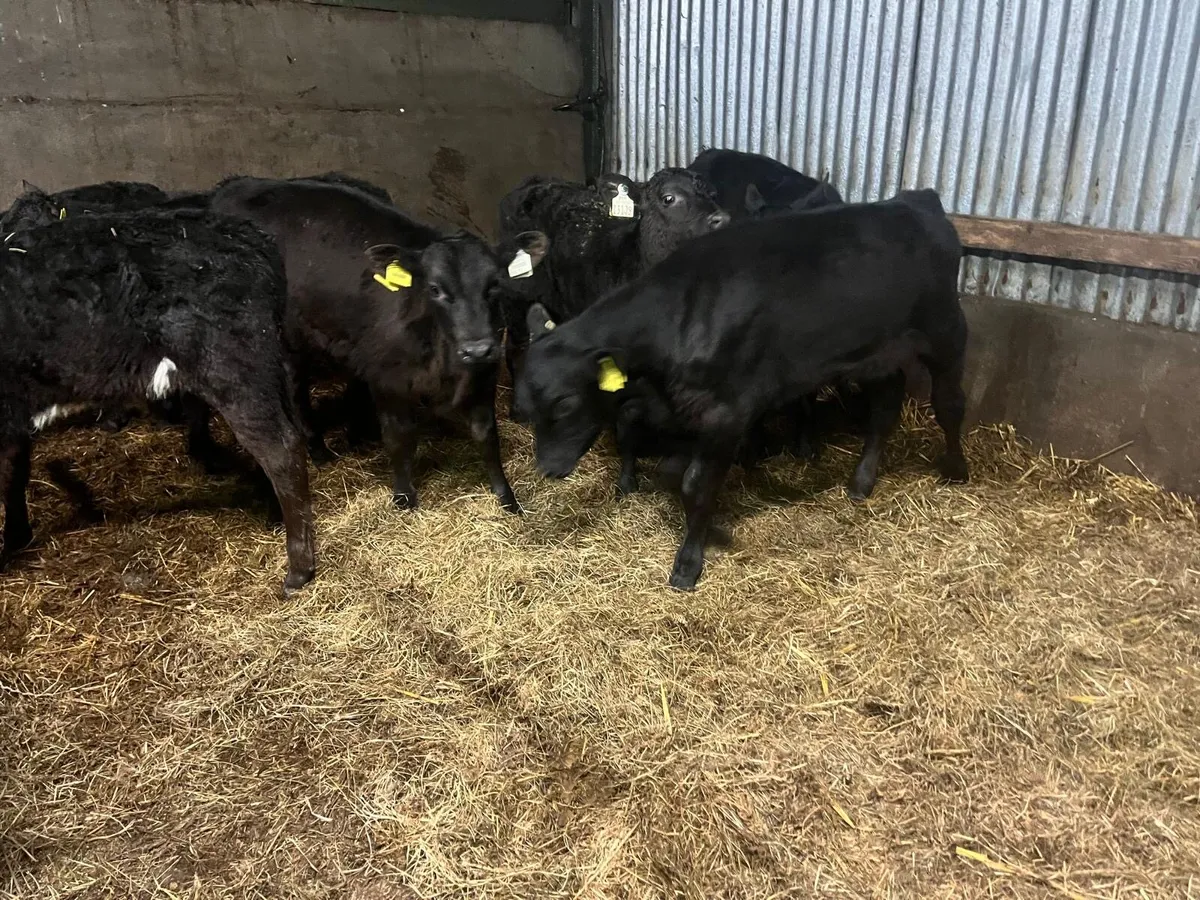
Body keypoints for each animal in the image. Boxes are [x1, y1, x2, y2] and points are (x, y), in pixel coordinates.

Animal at [0, 208, 316, 595]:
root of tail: (248, 237)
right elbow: (14, 473)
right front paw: (16, 539)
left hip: (235, 369)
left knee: (281, 449)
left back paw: (299, 569)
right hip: (269, 367)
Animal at [189, 176, 547, 514]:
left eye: (494, 285)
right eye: (434, 289)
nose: (476, 348)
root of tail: (236, 186)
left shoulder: (484, 372)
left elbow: (487, 435)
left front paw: (508, 499)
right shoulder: (386, 378)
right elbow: (398, 437)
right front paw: (404, 497)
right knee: (292, 389)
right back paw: (311, 449)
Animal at [514, 189, 969, 590]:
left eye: (565, 403)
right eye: (525, 409)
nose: (547, 468)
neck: (681, 318)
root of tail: (915, 201)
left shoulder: (727, 412)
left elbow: (695, 484)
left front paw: (689, 562)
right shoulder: (687, 410)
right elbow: (673, 472)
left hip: (945, 330)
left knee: (949, 403)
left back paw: (957, 470)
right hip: (879, 351)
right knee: (885, 407)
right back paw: (861, 482)